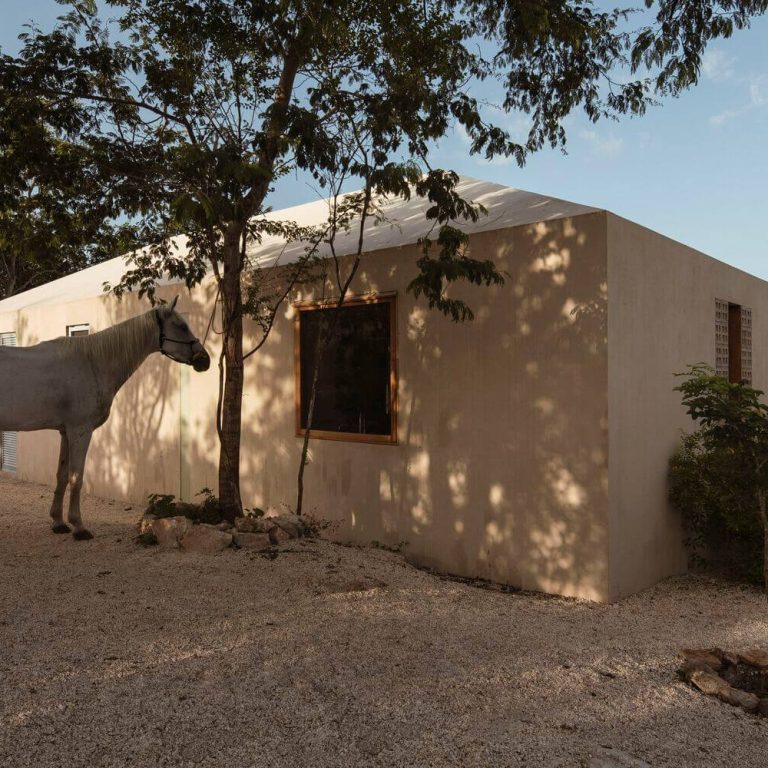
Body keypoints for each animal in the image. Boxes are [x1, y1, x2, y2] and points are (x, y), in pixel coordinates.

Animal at [0, 296, 208, 536]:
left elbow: (62, 475)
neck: (92, 363)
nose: (205, 359)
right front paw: (79, 526)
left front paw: (58, 522)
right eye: (181, 326)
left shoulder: (66, 432)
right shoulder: (80, 431)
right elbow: (76, 478)